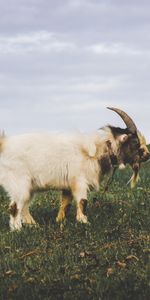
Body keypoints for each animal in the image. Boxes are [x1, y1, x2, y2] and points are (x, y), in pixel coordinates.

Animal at [0, 108, 149, 230]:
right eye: (135, 142)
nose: (147, 155)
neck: (96, 150)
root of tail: (4, 145)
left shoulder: (68, 186)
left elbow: (65, 204)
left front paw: (60, 221)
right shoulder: (79, 181)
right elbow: (83, 201)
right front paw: (84, 222)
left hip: (28, 187)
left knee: (24, 206)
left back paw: (34, 226)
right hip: (19, 184)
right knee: (14, 207)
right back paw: (18, 230)